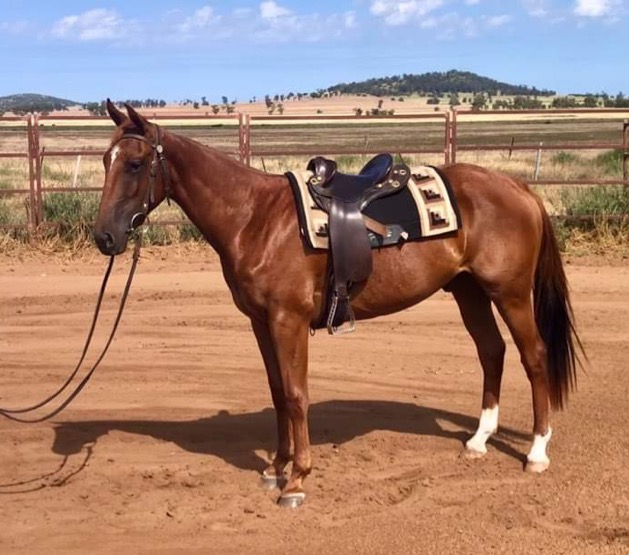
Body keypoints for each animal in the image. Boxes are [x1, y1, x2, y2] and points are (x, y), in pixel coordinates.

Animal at [93, 100, 583, 508]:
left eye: (135, 163)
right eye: (105, 161)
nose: (105, 237)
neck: (255, 218)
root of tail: (519, 187)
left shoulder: (288, 320)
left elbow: (296, 395)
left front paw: (296, 480)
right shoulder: (261, 322)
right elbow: (277, 392)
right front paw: (276, 467)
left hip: (510, 292)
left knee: (533, 356)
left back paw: (537, 451)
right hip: (469, 290)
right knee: (491, 351)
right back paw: (479, 440)